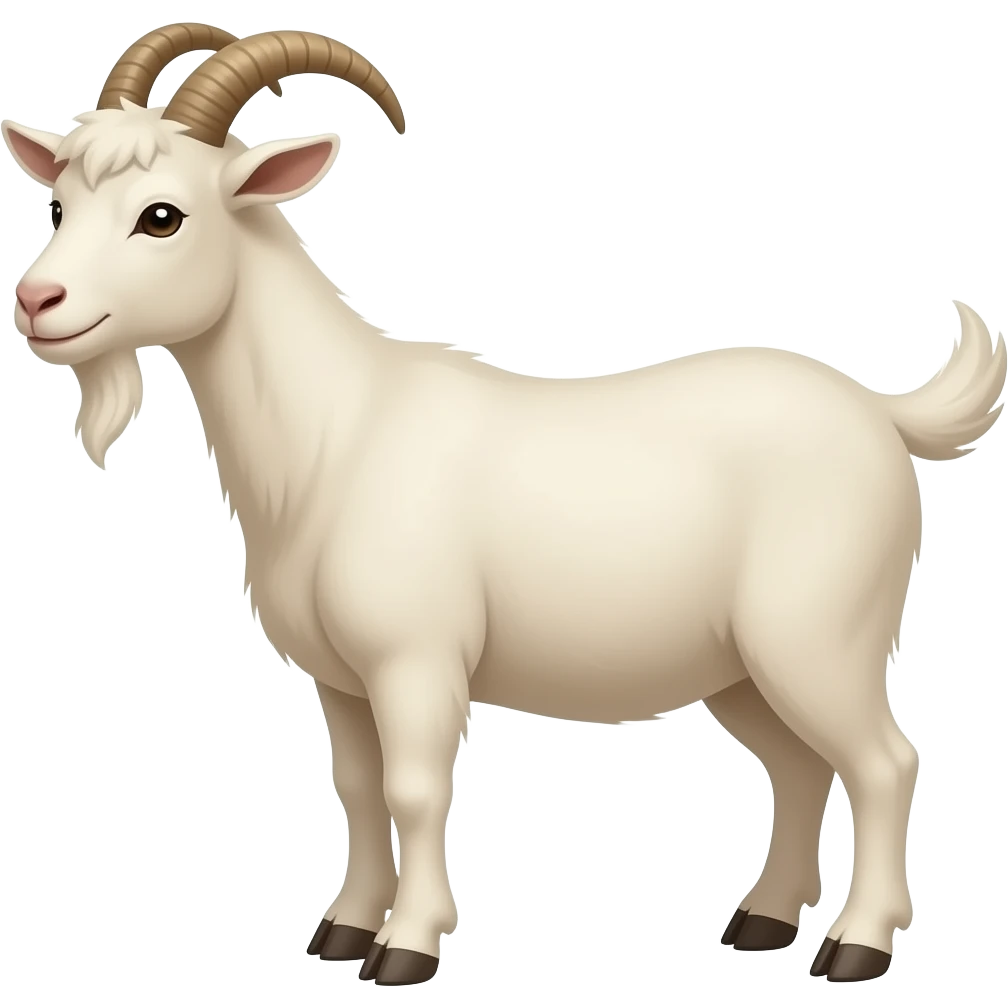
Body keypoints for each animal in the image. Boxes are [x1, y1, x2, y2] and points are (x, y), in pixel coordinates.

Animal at [3, 24, 1005, 987]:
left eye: (161, 216)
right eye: (60, 205)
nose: (37, 300)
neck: (337, 434)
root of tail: (881, 414)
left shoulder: (416, 660)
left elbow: (412, 790)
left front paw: (405, 948)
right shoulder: (342, 678)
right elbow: (355, 788)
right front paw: (343, 931)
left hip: (820, 635)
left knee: (883, 762)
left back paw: (858, 946)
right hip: (743, 666)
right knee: (800, 767)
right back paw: (762, 923)